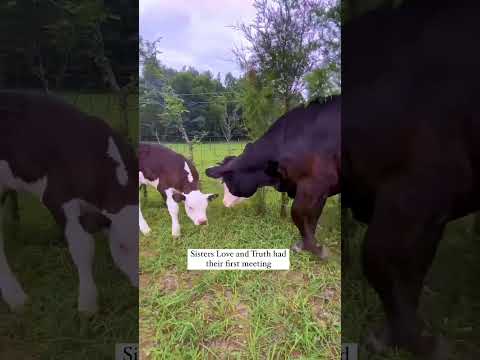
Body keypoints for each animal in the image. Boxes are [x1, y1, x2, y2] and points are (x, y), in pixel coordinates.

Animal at [206, 97, 342, 258]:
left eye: (228, 181)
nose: (224, 202)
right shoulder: (319, 191)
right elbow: (312, 217)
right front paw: (306, 245)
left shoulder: (315, 185)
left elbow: (297, 213)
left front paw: (315, 249)